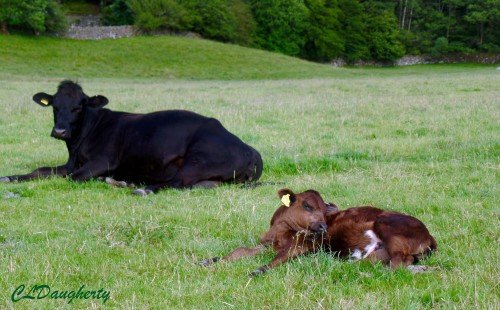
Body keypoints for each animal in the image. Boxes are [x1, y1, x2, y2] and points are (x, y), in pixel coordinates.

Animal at [0, 80, 264, 194]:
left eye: (78, 106)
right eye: (55, 106)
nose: (60, 131)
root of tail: (249, 148)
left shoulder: (102, 161)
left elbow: (74, 177)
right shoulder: (70, 163)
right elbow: (41, 171)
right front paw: (9, 177)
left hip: (199, 158)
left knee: (176, 182)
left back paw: (139, 188)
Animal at [199, 189, 438, 276]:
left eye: (324, 210)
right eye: (306, 205)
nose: (323, 227)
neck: (279, 231)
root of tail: (429, 235)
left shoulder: (305, 244)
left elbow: (281, 257)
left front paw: (258, 270)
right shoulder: (265, 244)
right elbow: (239, 251)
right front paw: (209, 261)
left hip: (386, 225)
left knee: (398, 262)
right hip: (380, 251)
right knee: (393, 263)